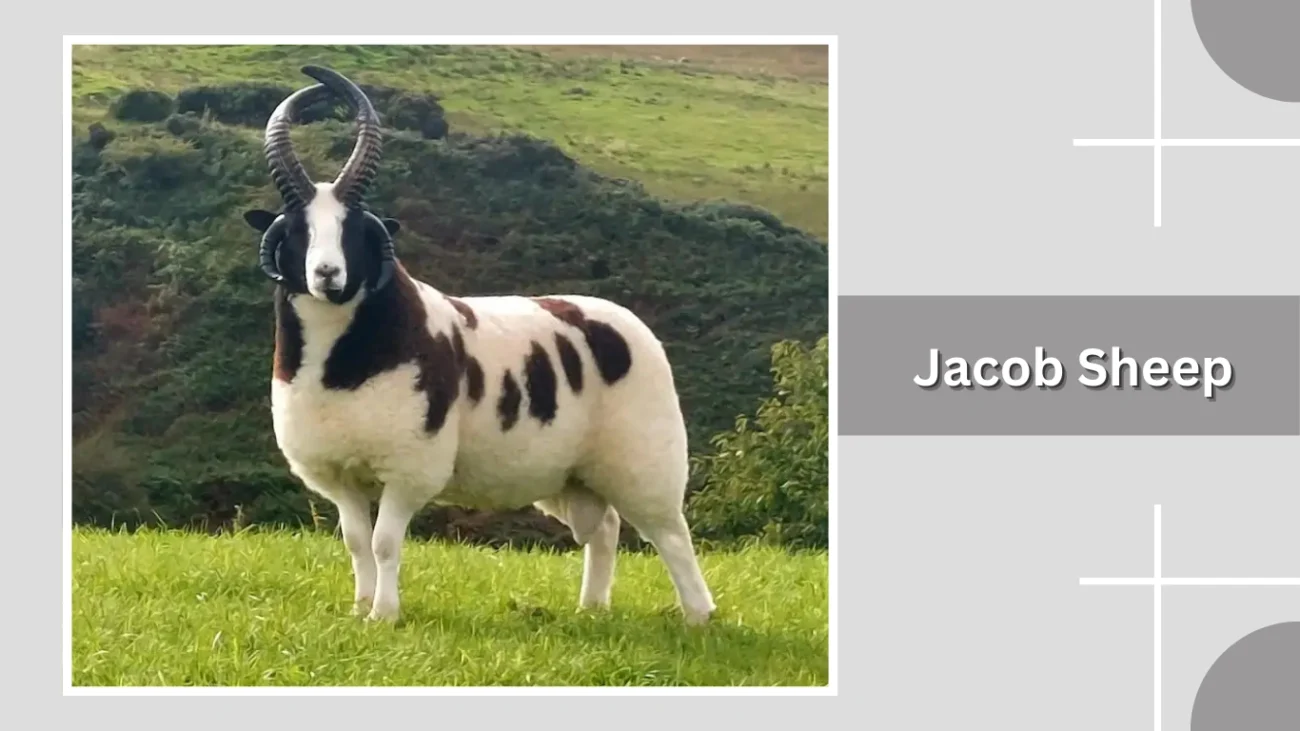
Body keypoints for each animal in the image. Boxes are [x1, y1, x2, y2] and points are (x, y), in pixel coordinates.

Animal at [240, 65, 717, 626]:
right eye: (297, 230)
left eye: (354, 229)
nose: (327, 275)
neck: (342, 362)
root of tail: (628, 325)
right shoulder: (338, 474)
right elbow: (356, 543)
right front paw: (360, 609)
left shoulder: (409, 467)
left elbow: (384, 544)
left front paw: (385, 615)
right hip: (574, 475)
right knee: (605, 530)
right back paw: (592, 608)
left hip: (645, 458)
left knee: (672, 535)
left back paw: (699, 615)